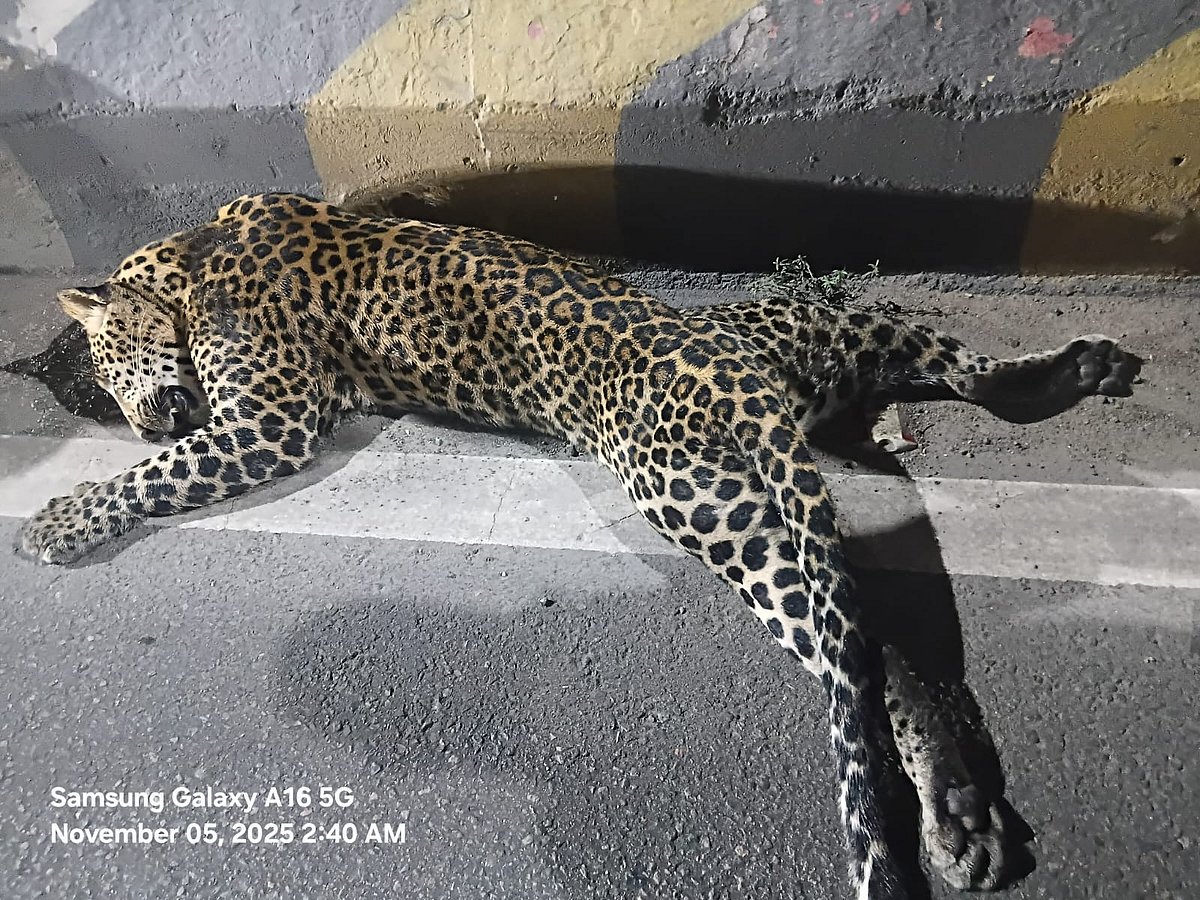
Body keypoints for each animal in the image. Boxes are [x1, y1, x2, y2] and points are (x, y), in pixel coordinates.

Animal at [15, 192, 1141, 900]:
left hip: (708, 507)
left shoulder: (268, 422)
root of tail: (732, 365)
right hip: (830, 334)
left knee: (846, 645)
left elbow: (163, 478)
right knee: (896, 561)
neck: (192, 253)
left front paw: (61, 519)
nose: (142, 420)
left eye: (106, 372)